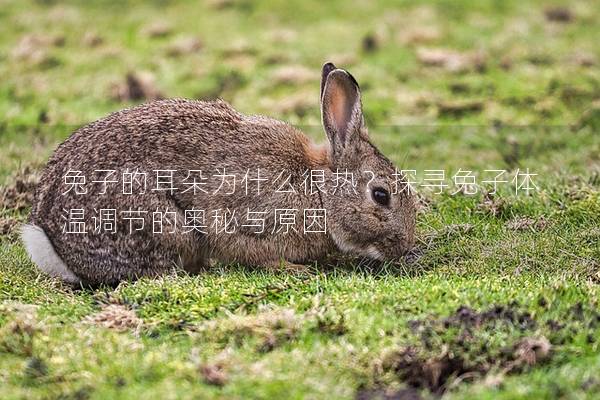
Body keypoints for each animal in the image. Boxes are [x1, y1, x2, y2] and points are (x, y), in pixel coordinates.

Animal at [23, 62, 418, 286]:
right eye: (381, 195)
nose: (404, 247)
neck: (319, 192)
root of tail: (52, 244)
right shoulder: (247, 216)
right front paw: (293, 270)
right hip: (159, 223)